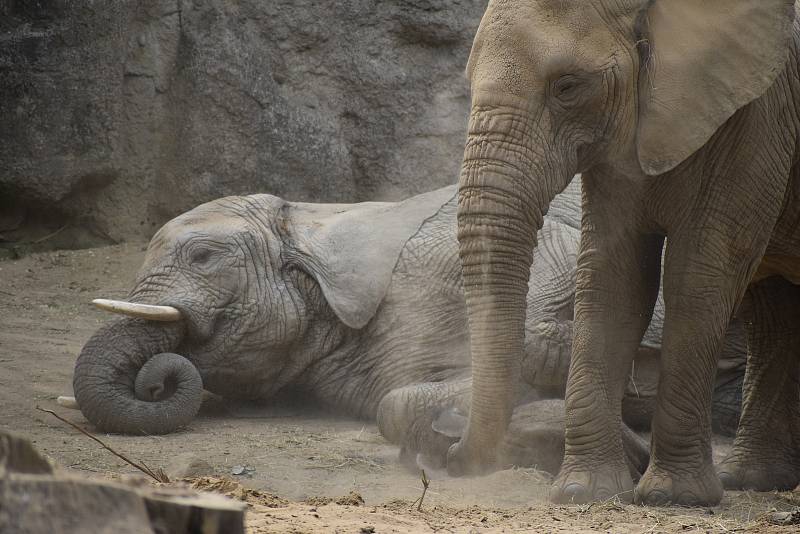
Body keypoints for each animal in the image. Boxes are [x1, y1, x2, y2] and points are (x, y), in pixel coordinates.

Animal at [450, 0, 800, 506]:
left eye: (567, 86)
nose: (452, 454)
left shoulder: (759, 116)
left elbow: (699, 272)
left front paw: (674, 498)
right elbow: (613, 276)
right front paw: (584, 491)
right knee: (774, 306)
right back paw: (752, 480)